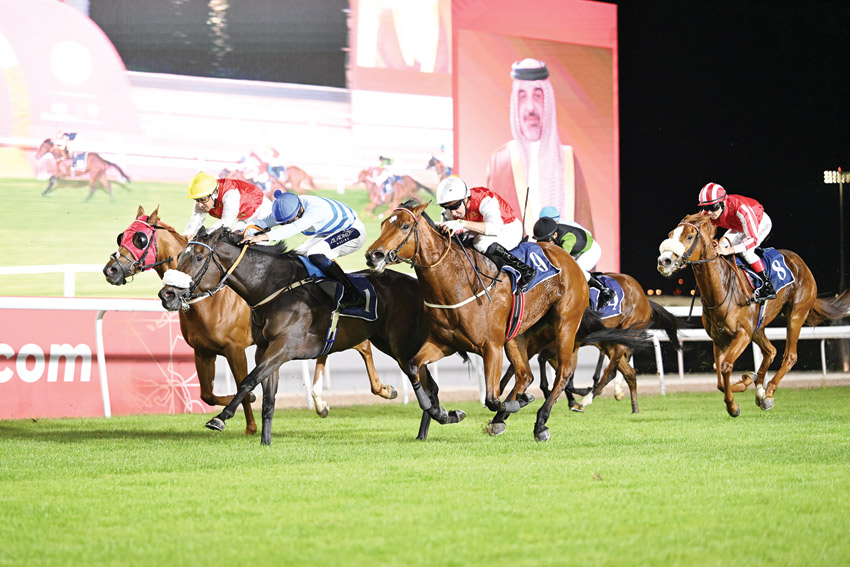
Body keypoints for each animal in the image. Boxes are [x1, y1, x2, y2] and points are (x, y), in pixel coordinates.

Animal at [103, 207, 396, 431]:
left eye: (139, 239)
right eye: (121, 236)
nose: (111, 269)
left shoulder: (235, 349)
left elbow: (245, 382)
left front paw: (249, 425)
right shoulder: (203, 351)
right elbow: (207, 394)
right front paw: (247, 405)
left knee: (364, 347)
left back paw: (383, 389)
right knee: (331, 352)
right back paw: (321, 402)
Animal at [156, 227, 461, 445]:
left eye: (198, 258)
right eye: (178, 257)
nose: (166, 294)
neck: (272, 288)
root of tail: (419, 285)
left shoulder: (283, 347)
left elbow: (248, 381)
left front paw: (221, 418)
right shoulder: (265, 349)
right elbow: (268, 397)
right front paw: (265, 441)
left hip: (402, 345)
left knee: (426, 383)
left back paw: (440, 415)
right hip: (391, 343)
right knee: (427, 383)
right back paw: (431, 426)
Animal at [365, 201, 651, 441]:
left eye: (404, 225)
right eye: (383, 224)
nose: (373, 255)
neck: (456, 283)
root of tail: (571, 263)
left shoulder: (490, 346)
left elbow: (492, 397)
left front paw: (516, 404)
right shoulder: (444, 344)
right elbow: (414, 368)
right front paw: (446, 413)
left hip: (566, 324)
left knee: (563, 373)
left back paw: (541, 422)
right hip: (518, 335)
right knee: (525, 375)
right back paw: (506, 417)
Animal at [500, 273, 682, 414]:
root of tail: (643, 296)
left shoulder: (567, 344)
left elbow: (556, 369)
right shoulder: (537, 342)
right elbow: (516, 367)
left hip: (626, 332)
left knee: (610, 371)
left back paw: (586, 400)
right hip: (609, 341)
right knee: (629, 372)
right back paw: (634, 408)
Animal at [657, 212, 850, 416]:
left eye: (689, 236)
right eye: (671, 234)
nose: (664, 261)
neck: (722, 288)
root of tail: (800, 263)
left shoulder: (742, 334)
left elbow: (726, 366)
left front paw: (733, 405)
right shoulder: (719, 339)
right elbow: (719, 378)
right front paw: (747, 380)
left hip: (796, 314)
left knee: (789, 355)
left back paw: (769, 392)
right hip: (758, 327)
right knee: (770, 351)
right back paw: (759, 390)